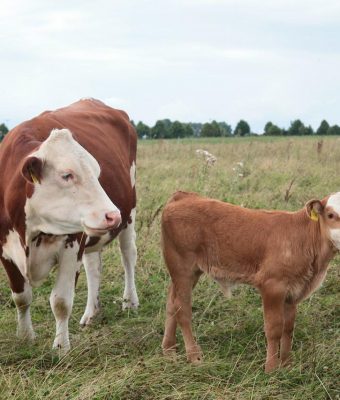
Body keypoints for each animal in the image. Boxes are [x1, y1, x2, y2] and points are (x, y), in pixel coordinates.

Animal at [0, 98, 138, 352]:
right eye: (67, 175)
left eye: (97, 172)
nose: (112, 215)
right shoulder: (5, 249)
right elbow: (21, 297)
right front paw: (25, 337)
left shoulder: (72, 245)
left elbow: (61, 302)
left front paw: (61, 348)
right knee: (93, 267)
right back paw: (91, 313)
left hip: (129, 212)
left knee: (128, 255)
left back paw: (130, 301)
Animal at [161, 191, 338, 372]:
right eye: (331, 215)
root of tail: (183, 195)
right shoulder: (272, 285)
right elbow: (274, 328)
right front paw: (271, 368)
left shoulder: (294, 291)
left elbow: (288, 328)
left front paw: (287, 364)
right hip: (182, 266)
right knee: (182, 309)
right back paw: (194, 356)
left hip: (189, 271)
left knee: (171, 303)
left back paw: (169, 350)